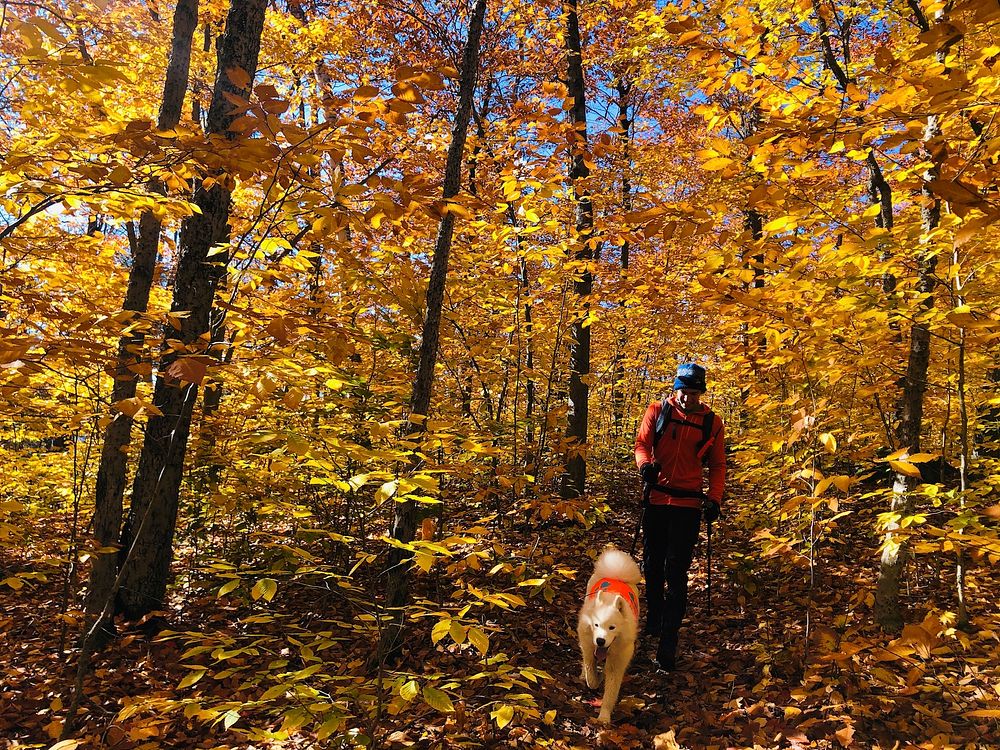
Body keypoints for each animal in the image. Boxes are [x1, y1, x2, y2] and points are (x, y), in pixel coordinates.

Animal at [580, 548, 640, 724]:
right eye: (596, 625)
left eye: (612, 627)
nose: (600, 641)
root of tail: (615, 576)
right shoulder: (588, 647)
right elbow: (590, 674)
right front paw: (594, 678)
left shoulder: (617, 662)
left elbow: (610, 693)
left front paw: (604, 718)